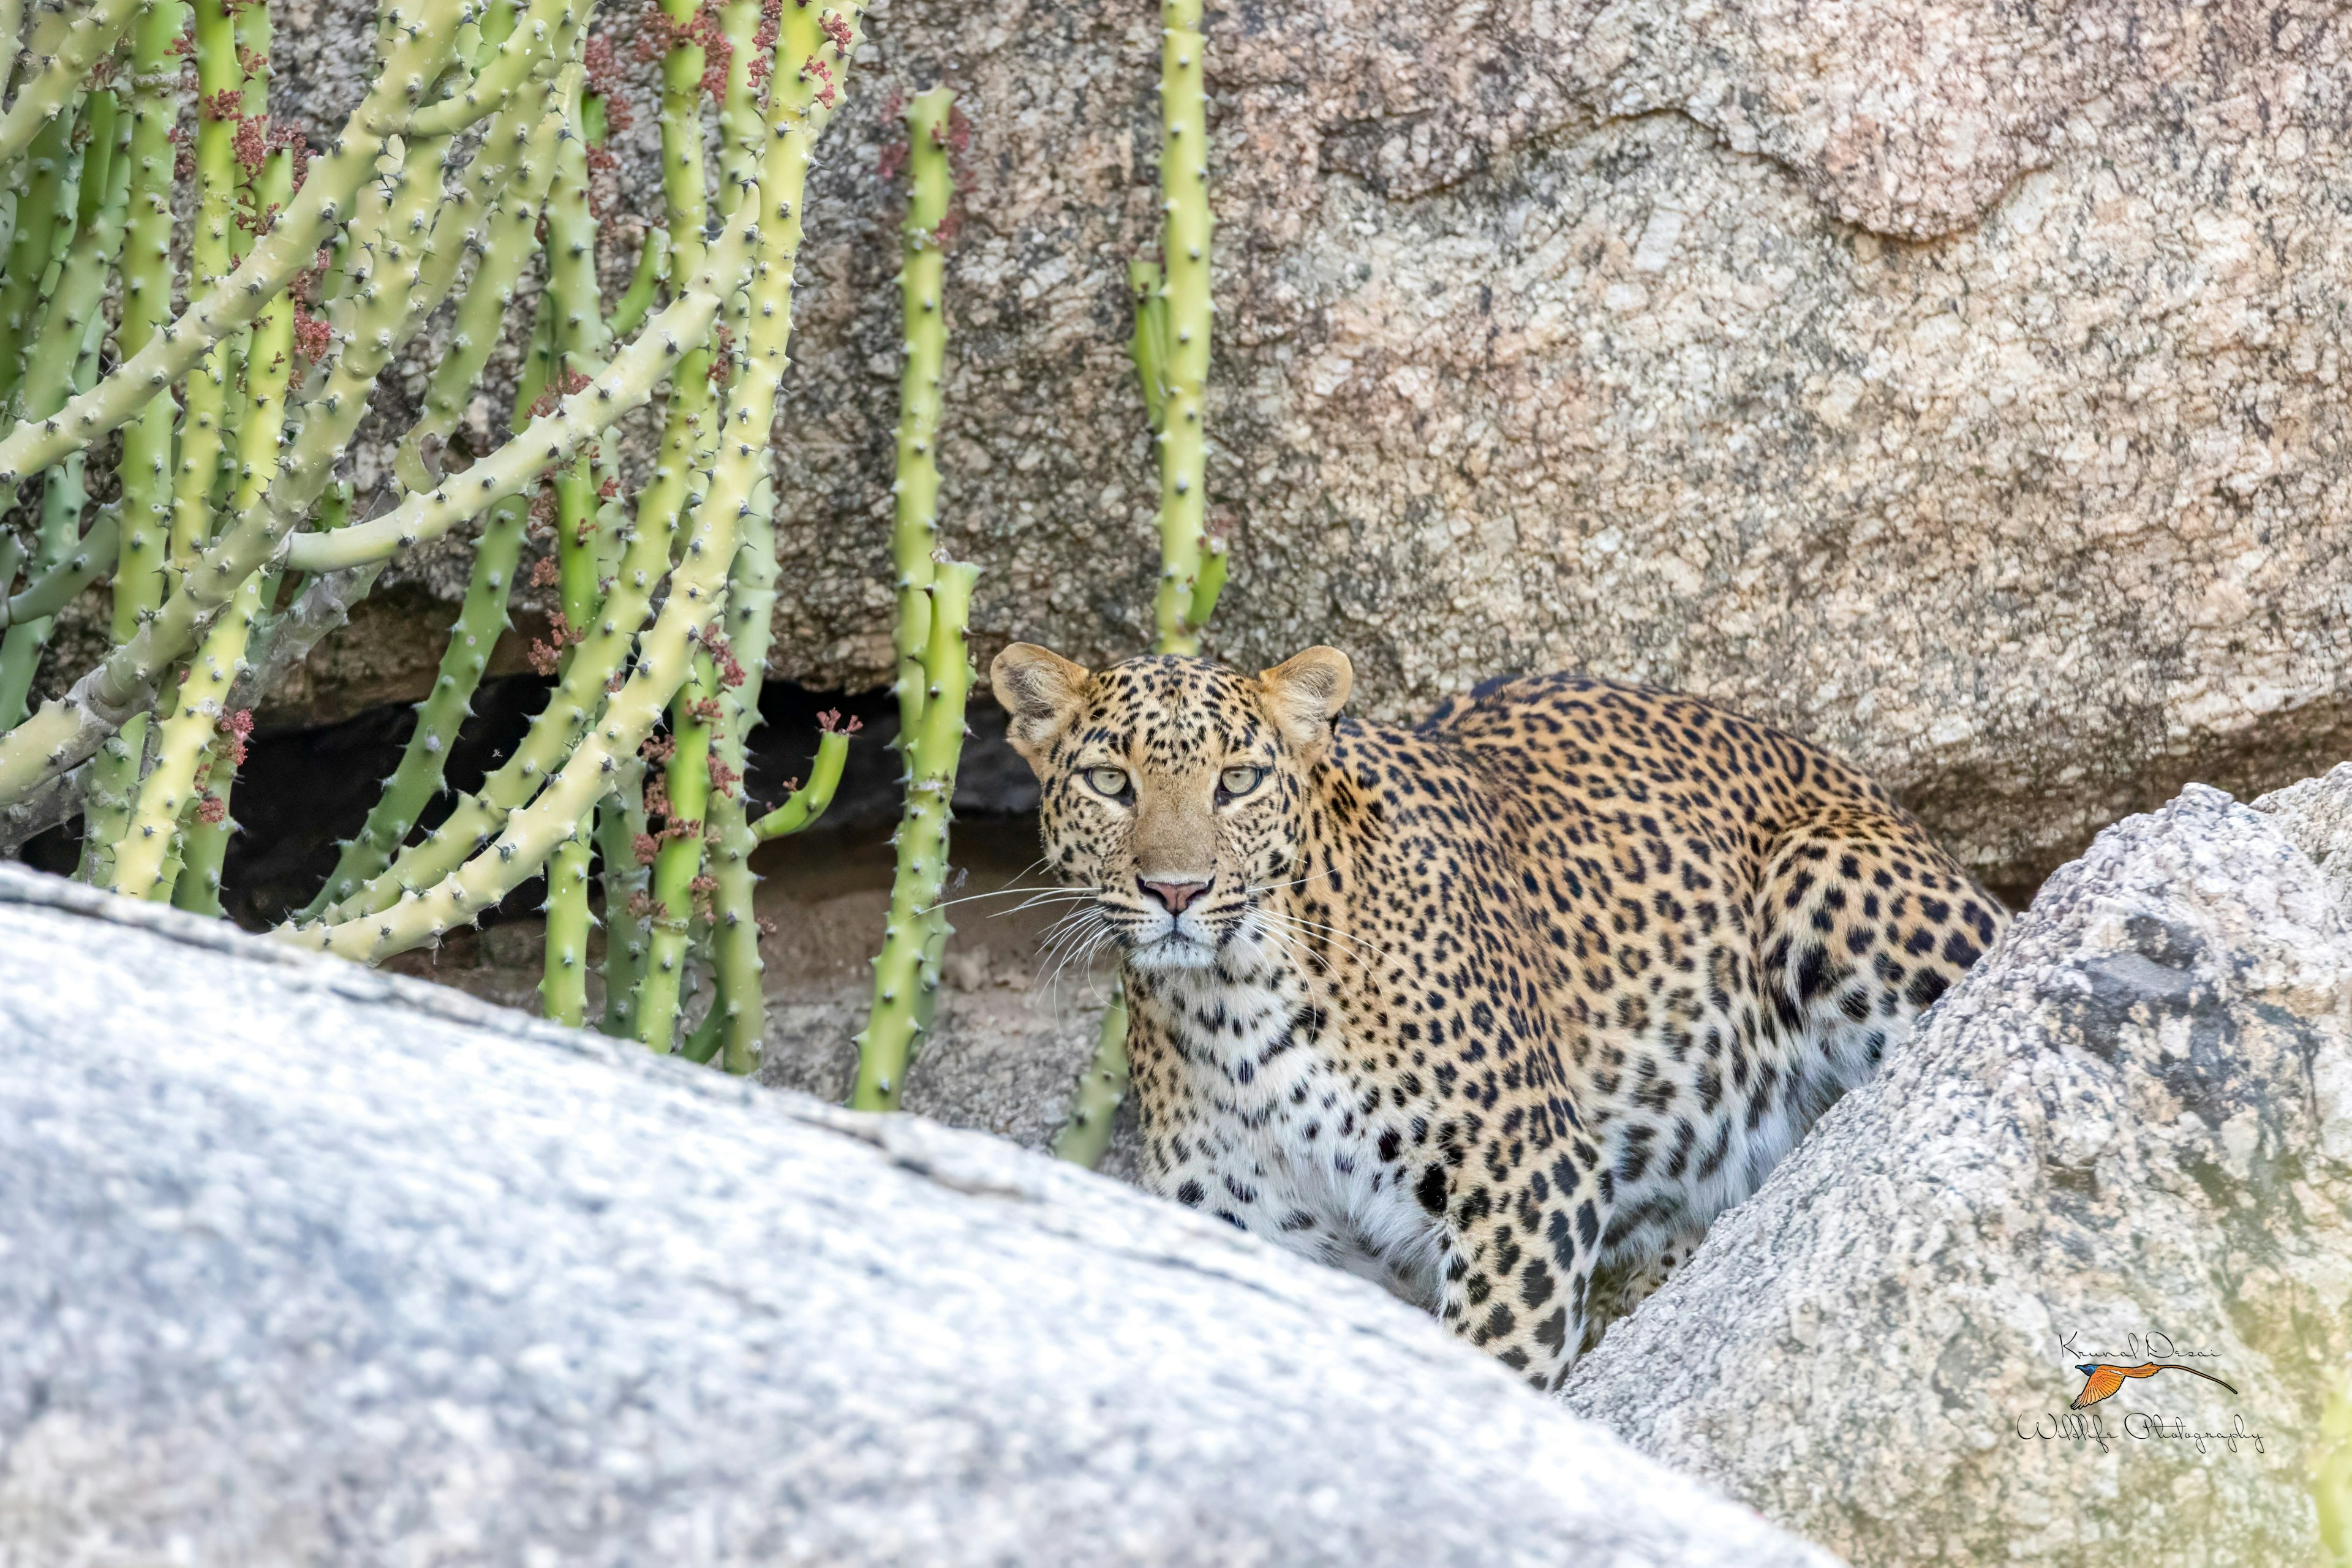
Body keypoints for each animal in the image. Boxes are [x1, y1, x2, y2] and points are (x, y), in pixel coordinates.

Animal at [987, 644, 2003, 1392]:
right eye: (1110, 782)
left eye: (1236, 782)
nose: (1175, 891)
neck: (1229, 1009)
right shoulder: (1270, 1239)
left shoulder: (1527, 1170)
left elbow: (1497, 1359)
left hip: (1826, 876)